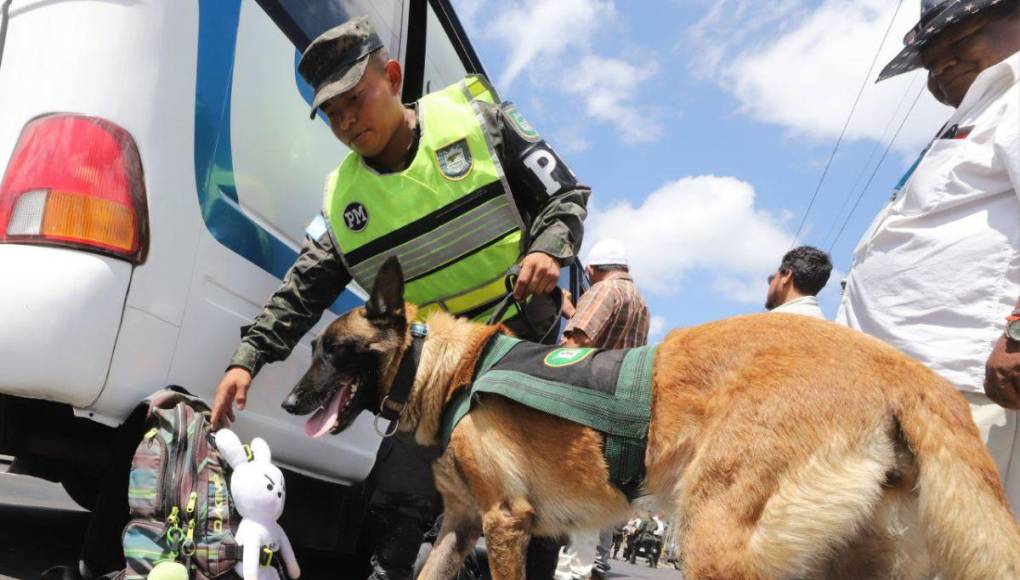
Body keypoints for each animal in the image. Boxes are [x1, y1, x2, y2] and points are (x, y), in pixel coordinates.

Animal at [281, 258, 1020, 578]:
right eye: (311, 350)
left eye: (335, 350)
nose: (287, 404)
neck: (445, 368)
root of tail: (903, 369)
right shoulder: (461, 528)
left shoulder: (505, 523)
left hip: (716, 539)